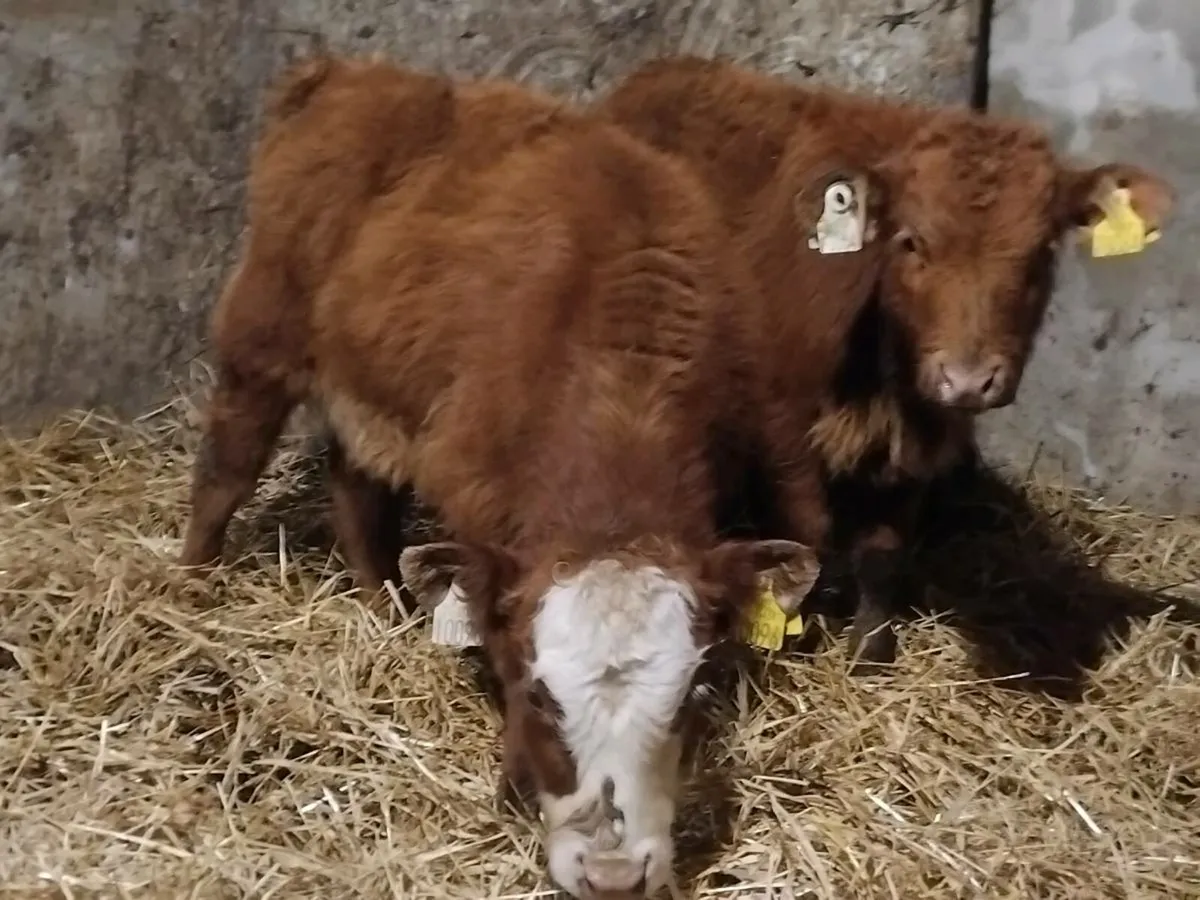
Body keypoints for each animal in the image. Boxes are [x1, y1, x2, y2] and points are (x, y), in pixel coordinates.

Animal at [176, 55, 821, 897]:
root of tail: (351, 73)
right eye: (537, 696)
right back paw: (191, 586)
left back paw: (381, 608)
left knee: (358, 495)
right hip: (261, 337)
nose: (614, 877)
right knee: (226, 468)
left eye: (693, 695)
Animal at [596, 55, 1176, 671]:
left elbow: (885, 549)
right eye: (911, 241)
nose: (969, 379)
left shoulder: (919, 439)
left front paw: (871, 642)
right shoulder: (782, 427)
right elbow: (810, 530)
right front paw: (804, 626)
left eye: (1041, 252)